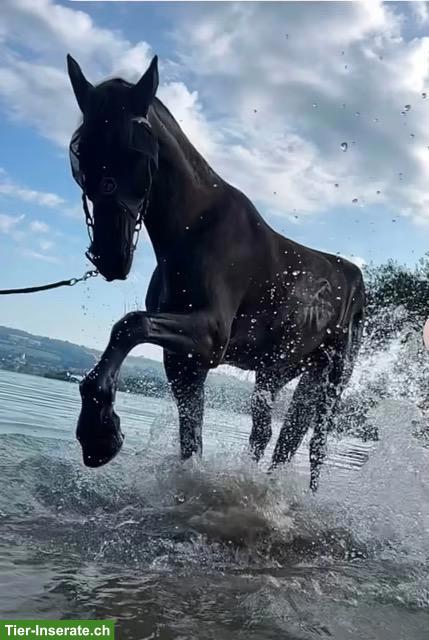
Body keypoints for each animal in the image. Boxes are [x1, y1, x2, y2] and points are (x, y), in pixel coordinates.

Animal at [67, 54, 365, 491]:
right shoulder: (185, 364)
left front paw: (99, 432)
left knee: (313, 451)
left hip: (331, 383)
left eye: (135, 151)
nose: (108, 256)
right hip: (279, 372)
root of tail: (357, 280)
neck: (195, 225)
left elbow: (130, 325)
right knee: (272, 437)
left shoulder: (209, 336)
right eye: (80, 152)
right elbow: (191, 440)